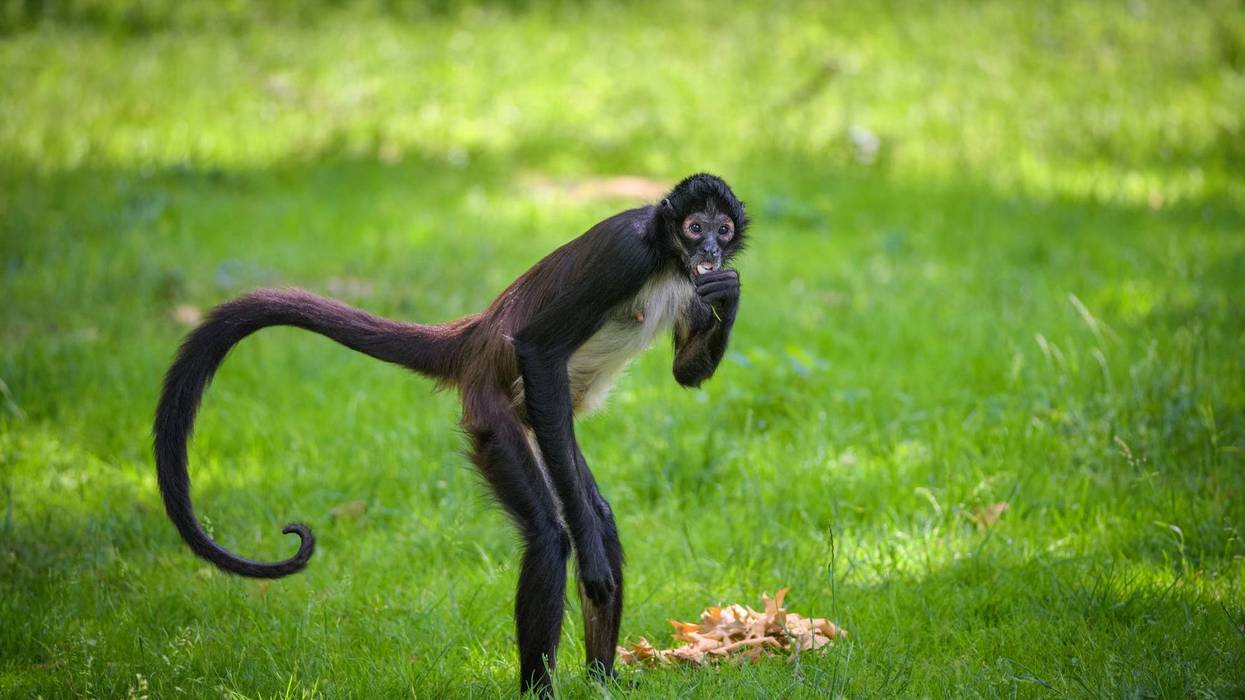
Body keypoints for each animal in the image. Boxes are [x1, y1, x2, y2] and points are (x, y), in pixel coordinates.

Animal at [154, 173, 748, 696]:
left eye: (722, 230)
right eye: (695, 226)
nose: (710, 250)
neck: (667, 258)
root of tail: (478, 335)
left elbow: (686, 374)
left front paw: (730, 291)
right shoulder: (625, 256)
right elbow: (539, 349)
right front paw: (592, 561)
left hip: (539, 421)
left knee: (597, 514)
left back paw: (602, 679)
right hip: (496, 414)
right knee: (550, 535)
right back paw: (543, 684)